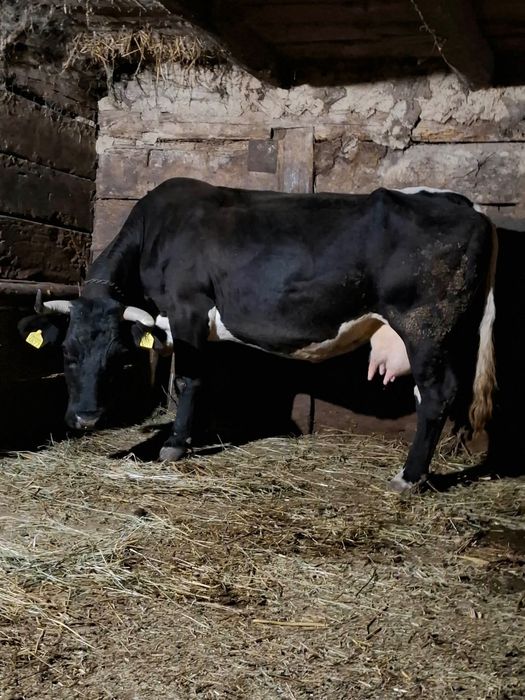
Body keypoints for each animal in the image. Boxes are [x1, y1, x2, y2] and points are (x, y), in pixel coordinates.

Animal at [18, 178, 497, 492]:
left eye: (119, 358)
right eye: (67, 354)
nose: (85, 418)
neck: (157, 232)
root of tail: (463, 204)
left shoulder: (188, 308)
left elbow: (188, 379)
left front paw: (174, 445)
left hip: (426, 327)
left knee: (436, 395)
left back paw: (409, 478)